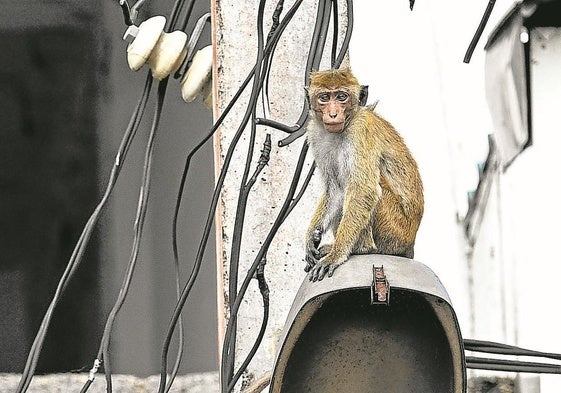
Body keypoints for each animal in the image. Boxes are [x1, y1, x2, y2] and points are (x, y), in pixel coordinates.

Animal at [304, 68, 422, 282]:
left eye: (342, 97)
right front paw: (311, 237)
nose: (333, 114)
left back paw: (362, 248)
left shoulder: (362, 129)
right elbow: (334, 190)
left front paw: (336, 254)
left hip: (395, 231)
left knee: (368, 189)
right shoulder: (315, 134)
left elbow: (363, 190)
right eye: (324, 98)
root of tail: (411, 244)